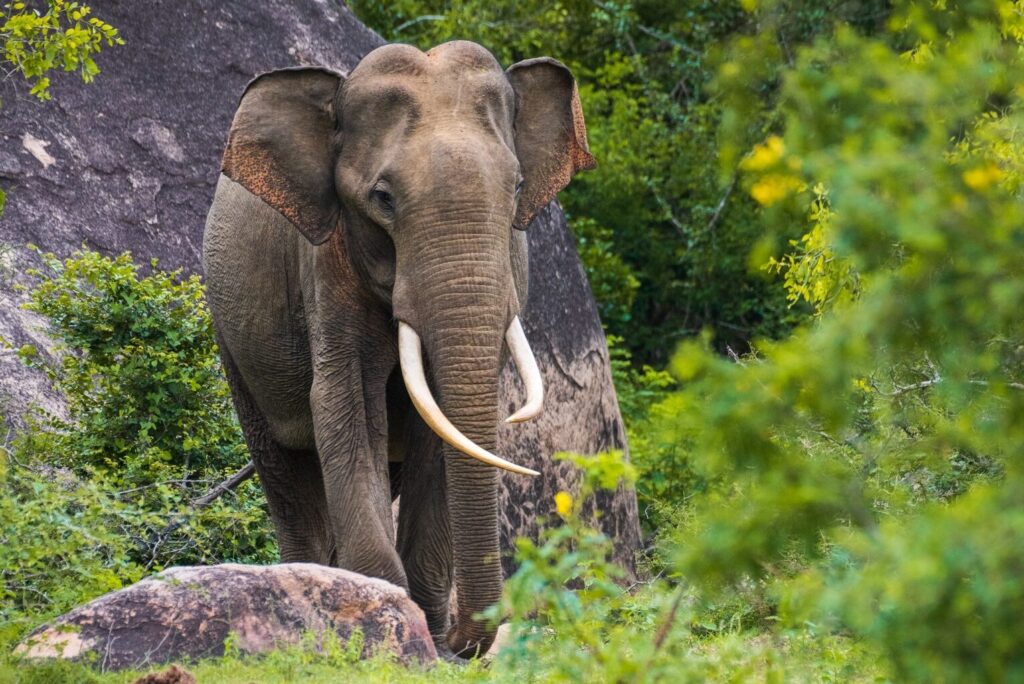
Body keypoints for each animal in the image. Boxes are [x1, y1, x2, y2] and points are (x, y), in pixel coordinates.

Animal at [202, 40, 595, 657]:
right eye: (382, 199)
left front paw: (425, 635)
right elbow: (347, 408)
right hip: (230, 330)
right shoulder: (328, 264)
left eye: (516, 188)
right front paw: (388, 631)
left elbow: (440, 430)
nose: (461, 641)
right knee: (285, 469)